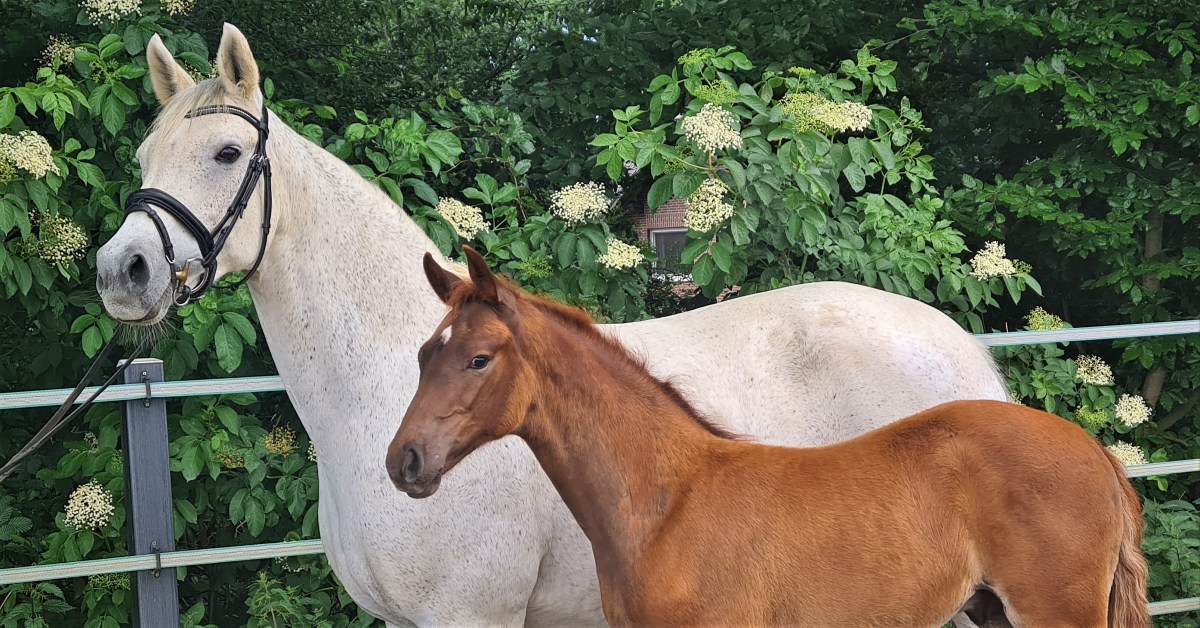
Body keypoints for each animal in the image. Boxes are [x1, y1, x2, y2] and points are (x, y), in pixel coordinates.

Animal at [95, 24, 1013, 626]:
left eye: (224, 155)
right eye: (142, 158)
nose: (122, 271)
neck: (381, 385)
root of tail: (965, 355)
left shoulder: (472, 617)